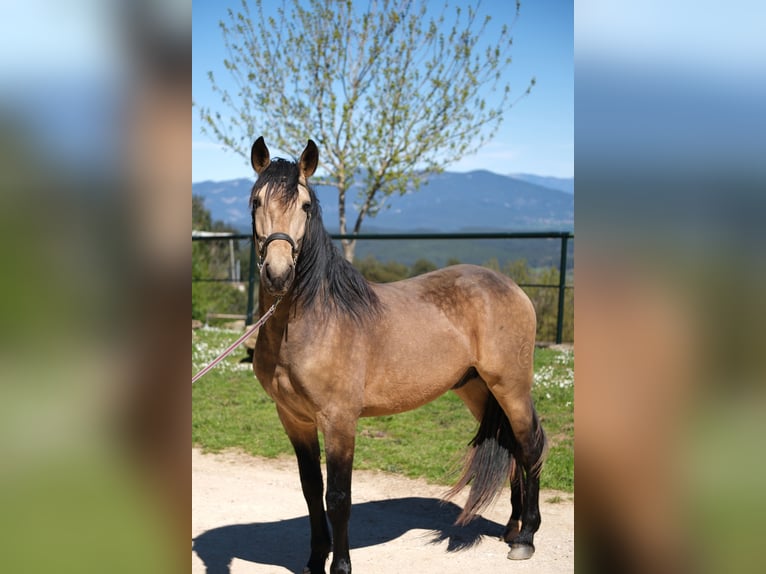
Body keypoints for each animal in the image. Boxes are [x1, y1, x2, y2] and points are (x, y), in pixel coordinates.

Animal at [248, 137, 548, 574]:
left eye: (304, 206)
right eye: (256, 201)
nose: (278, 273)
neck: (313, 321)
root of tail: (510, 286)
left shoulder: (339, 421)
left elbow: (338, 498)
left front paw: (340, 566)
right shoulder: (294, 420)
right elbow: (310, 490)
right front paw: (315, 560)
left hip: (511, 386)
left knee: (529, 448)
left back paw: (526, 537)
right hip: (477, 389)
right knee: (509, 447)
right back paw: (512, 528)